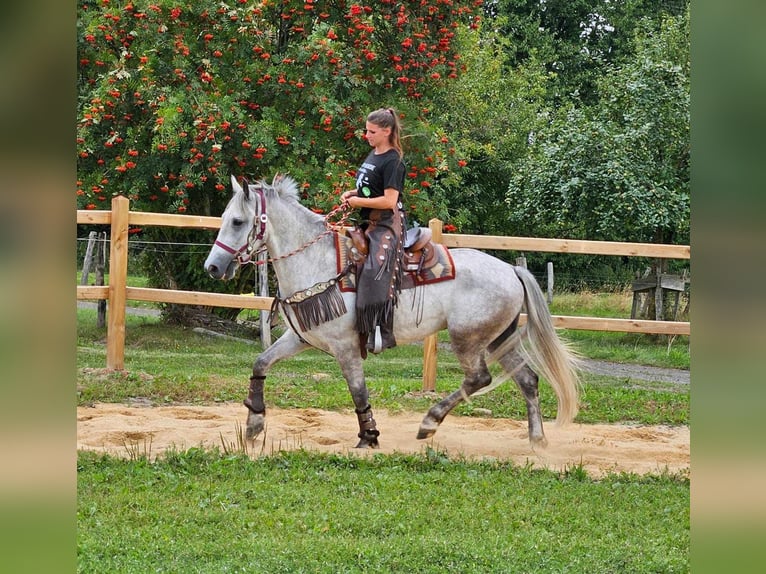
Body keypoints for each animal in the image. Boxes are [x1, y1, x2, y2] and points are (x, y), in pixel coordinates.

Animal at [207, 176, 580, 450]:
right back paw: (537, 439)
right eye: (224, 219)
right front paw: (254, 423)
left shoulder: (345, 346)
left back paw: (429, 422)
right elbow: (261, 362)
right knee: (527, 379)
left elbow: (358, 390)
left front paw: (368, 437)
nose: (213, 267)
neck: (320, 262)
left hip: (469, 339)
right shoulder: (300, 338)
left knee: (479, 379)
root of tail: (511, 270)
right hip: (499, 339)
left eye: (238, 221)